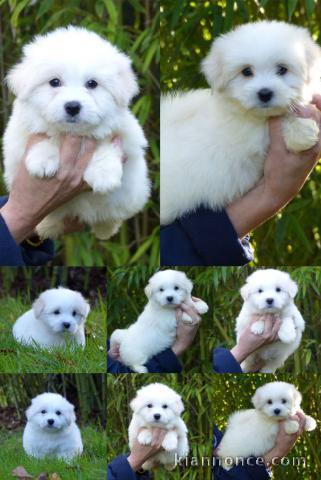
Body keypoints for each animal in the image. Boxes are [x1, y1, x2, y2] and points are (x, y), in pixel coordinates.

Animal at [3, 25, 149, 239]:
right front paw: (43, 160)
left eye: (92, 84)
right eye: (54, 82)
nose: (73, 106)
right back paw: (46, 226)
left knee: (112, 216)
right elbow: (45, 137)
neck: (73, 134)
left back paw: (105, 228)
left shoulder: (126, 138)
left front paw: (104, 174)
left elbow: (105, 143)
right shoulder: (18, 139)